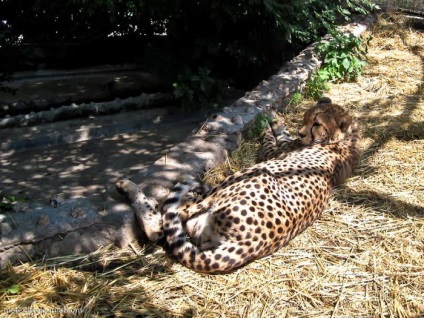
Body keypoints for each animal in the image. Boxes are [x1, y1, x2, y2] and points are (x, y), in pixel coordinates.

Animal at [117, 97, 362, 274]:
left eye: (317, 124)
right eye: (306, 117)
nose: (302, 133)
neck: (344, 138)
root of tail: (250, 244)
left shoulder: (272, 153)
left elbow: (271, 137)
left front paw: (269, 120)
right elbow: (281, 133)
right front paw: (275, 118)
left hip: (250, 175)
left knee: (160, 225)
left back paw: (127, 185)